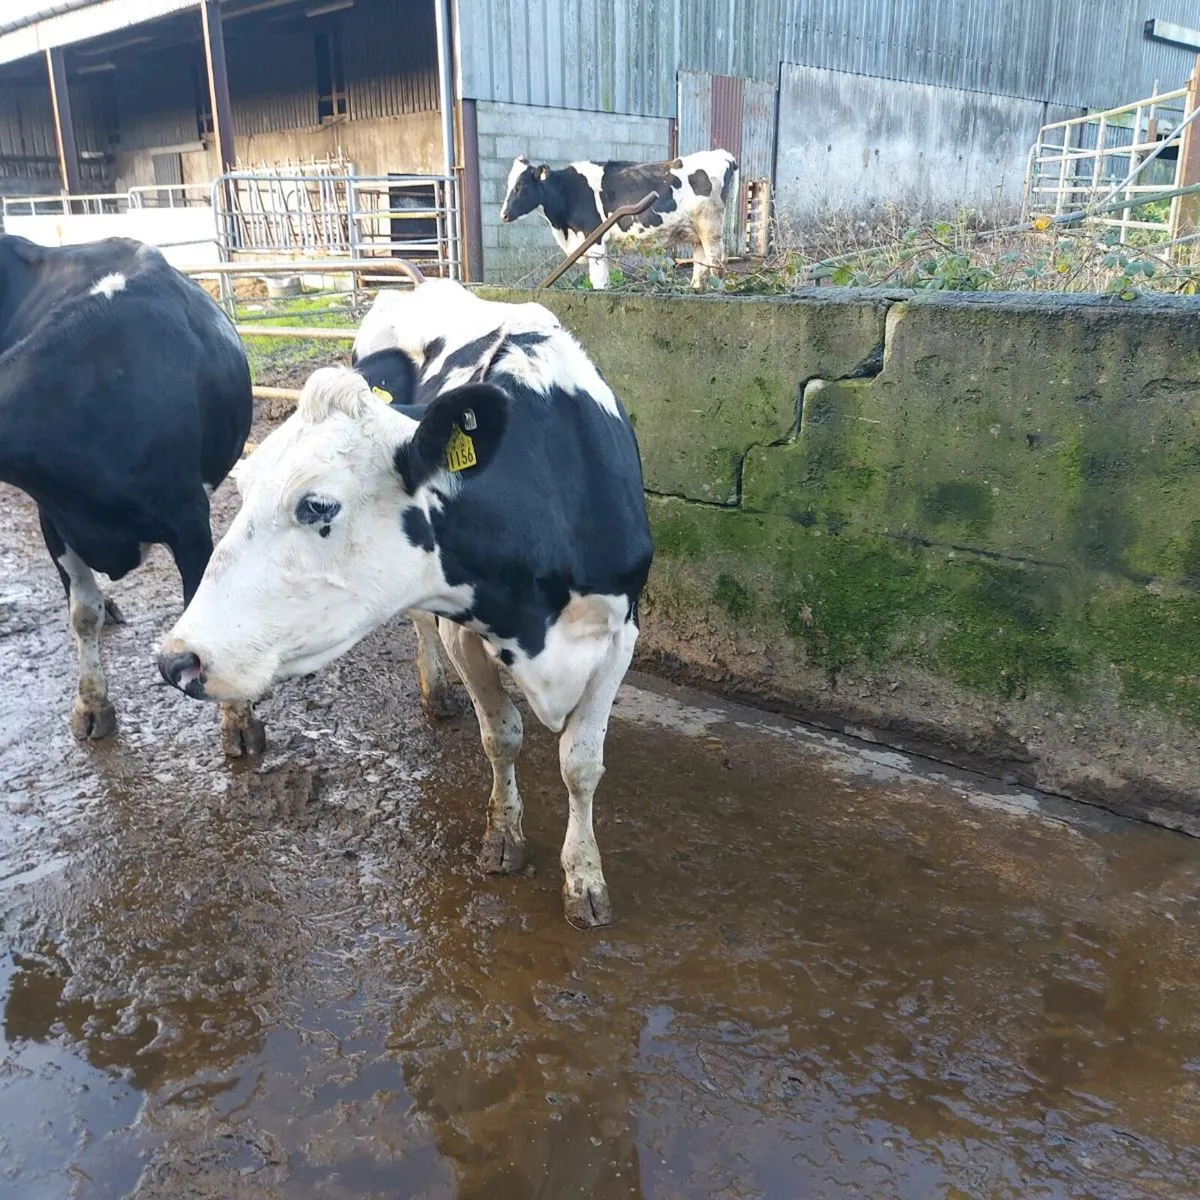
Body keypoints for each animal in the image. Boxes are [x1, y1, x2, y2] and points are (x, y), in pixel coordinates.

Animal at [157, 280, 654, 926]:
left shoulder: (620, 634)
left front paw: (585, 879)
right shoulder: (463, 629)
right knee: (420, 623)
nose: (176, 659)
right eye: (242, 488)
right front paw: (504, 835)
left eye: (317, 505)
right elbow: (502, 736)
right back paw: (436, 693)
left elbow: (582, 762)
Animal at [499, 149, 737, 290]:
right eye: (509, 184)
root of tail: (723, 155)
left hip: (711, 229)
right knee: (700, 268)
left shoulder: (594, 239)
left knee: (717, 265)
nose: (503, 214)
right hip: (697, 234)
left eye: (521, 185)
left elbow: (598, 281)